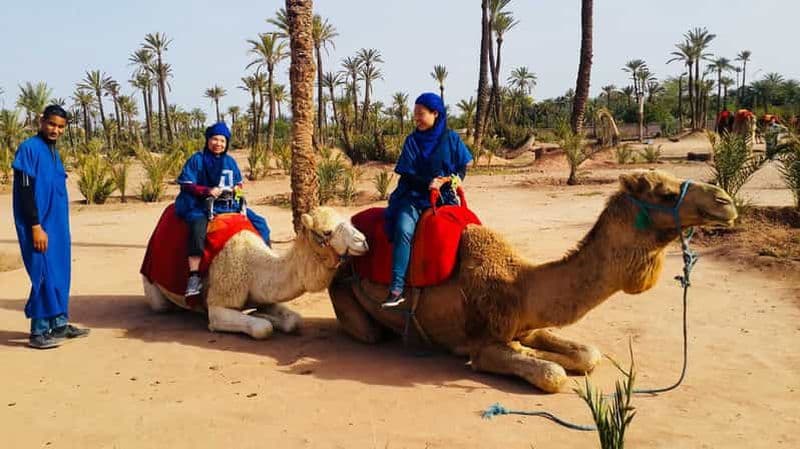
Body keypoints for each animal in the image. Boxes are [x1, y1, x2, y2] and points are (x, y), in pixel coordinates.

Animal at [143, 207, 368, 339]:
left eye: (348, 221)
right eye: (326, 232)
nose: (363, 241)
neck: (252, 268)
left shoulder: (265, 294)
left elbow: (294, 321)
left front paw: (262, 314)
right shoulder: (218, 303)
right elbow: (262, 328)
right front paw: (262, 319)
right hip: (152, 283)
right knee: (161, 305)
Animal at [328, 170, 737, 392]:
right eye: (665, 193)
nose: (725, 201)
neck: (520, 285)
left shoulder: (530, 324)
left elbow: (588, 354)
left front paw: (551, 355)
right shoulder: (486, 343)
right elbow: (552, 374)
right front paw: (539, 360)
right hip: (345, 296)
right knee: (370, 332)